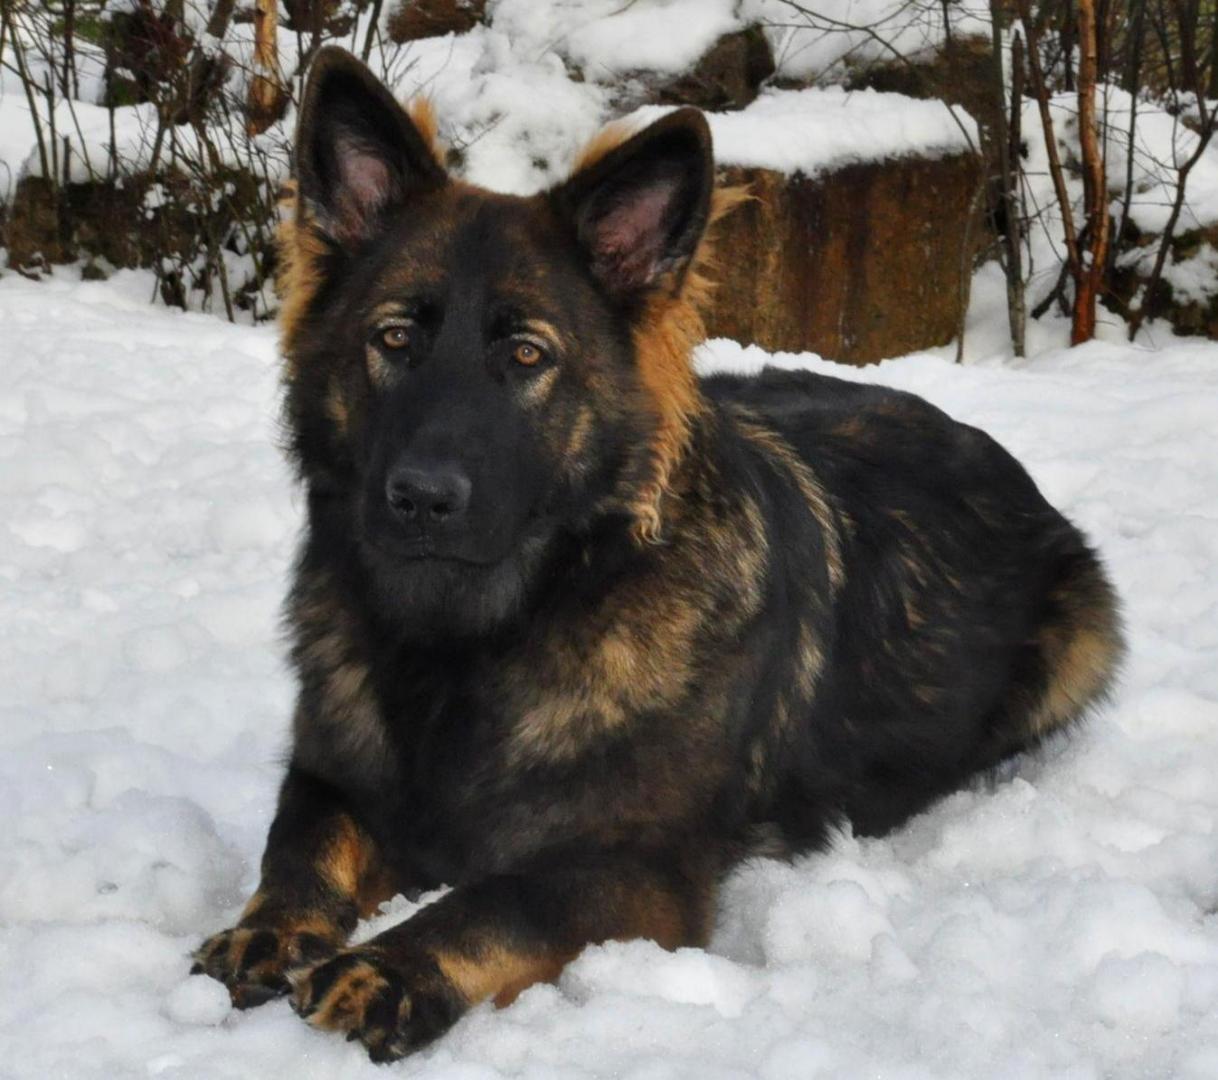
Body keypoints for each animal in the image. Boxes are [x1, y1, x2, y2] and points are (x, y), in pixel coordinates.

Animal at [192, 46, 1124, 1062]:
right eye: (393, 338)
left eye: (527, 356)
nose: (421, 499)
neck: (470, 645)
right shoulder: (331, 776)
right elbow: (299, 843)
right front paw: (271, 927)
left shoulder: (637, 870)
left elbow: (496, 904)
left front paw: (389, 967)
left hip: (1077, 647)